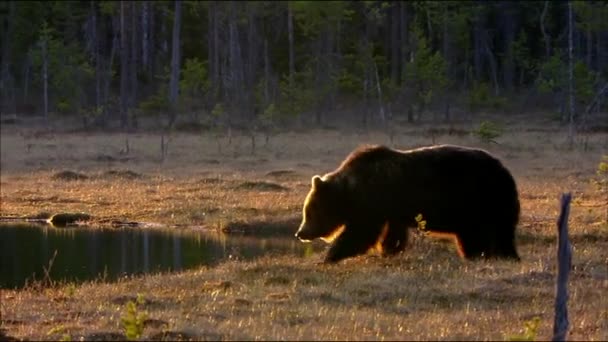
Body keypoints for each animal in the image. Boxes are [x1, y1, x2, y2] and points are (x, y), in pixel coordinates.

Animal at [296, 143, 524, 264]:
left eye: (309, 211)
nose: (300, 233)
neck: (352, 191)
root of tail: (504, 170)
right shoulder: (391, 210)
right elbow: (393, 235)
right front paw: (389, 251)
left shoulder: (372, 204)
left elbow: (360, 234)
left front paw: (329, 256)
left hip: (478, 199)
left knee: (488, 232)